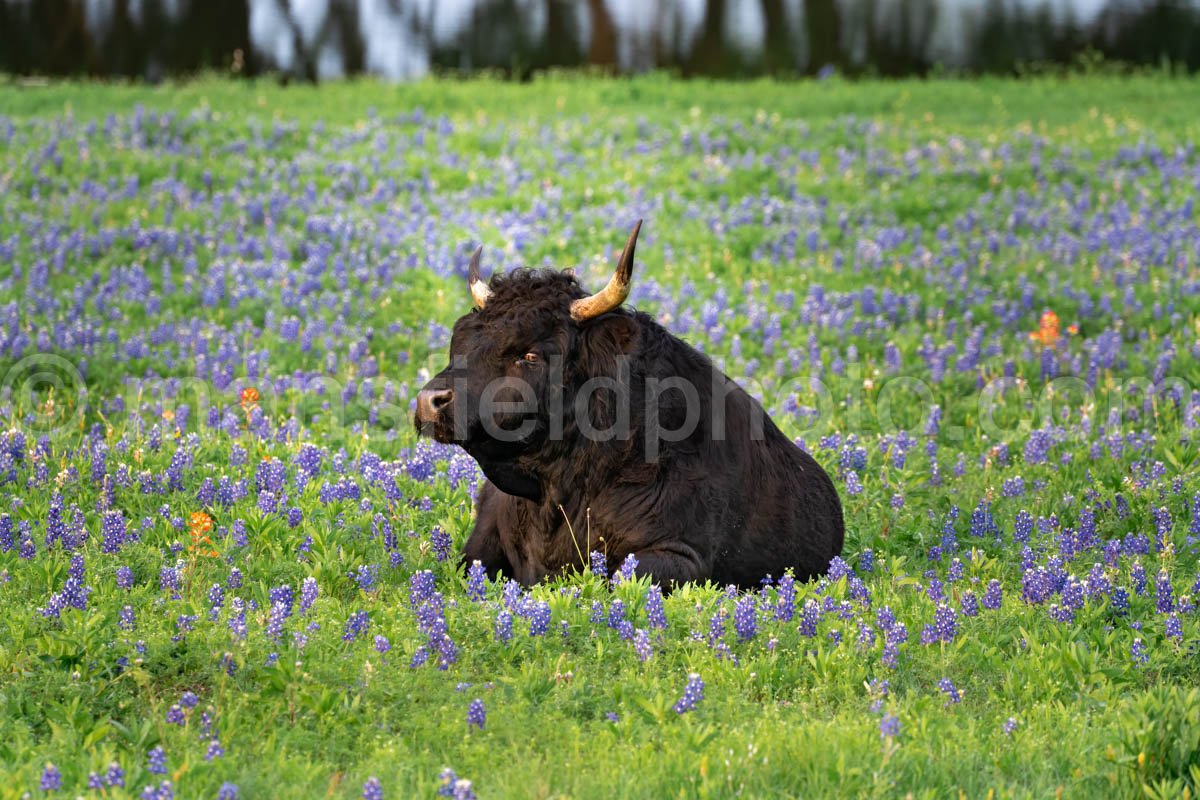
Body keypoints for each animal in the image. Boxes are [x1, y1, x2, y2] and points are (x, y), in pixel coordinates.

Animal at [415, 221, 844, 592]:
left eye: (532, 354)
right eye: (461, 339)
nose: (428, 402)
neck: (555, 493)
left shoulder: (678, 554)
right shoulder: (482, 540)